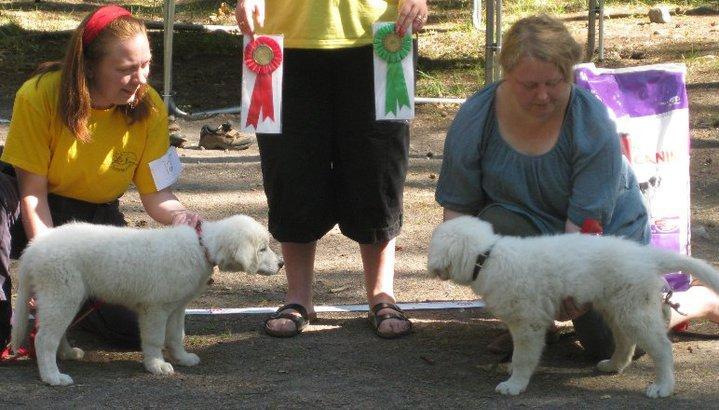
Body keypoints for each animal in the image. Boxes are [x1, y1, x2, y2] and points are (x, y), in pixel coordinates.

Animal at [11, 215, 282, 388]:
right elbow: (155, 339)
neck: (201, 247)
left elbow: (176, 336)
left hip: (71, 297)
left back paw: (67, 353)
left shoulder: (177, 307)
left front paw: (182, 358)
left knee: (58, 332)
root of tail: (34, 248)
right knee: (44, 338)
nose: (281, 264)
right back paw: (53, 377)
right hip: (61, 293)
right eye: (262, 249)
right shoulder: (156, 308)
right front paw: (156, 365)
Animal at [428, 216, 719, 398]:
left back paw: (663, 386)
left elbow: (524, 356)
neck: (487, 257)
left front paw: (514, 384)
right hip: (617, 306)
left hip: (633, 310)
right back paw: (613, 365)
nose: (430, 269)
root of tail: (645, 255)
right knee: (626, 341)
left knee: (662, 348)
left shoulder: (528, 323)